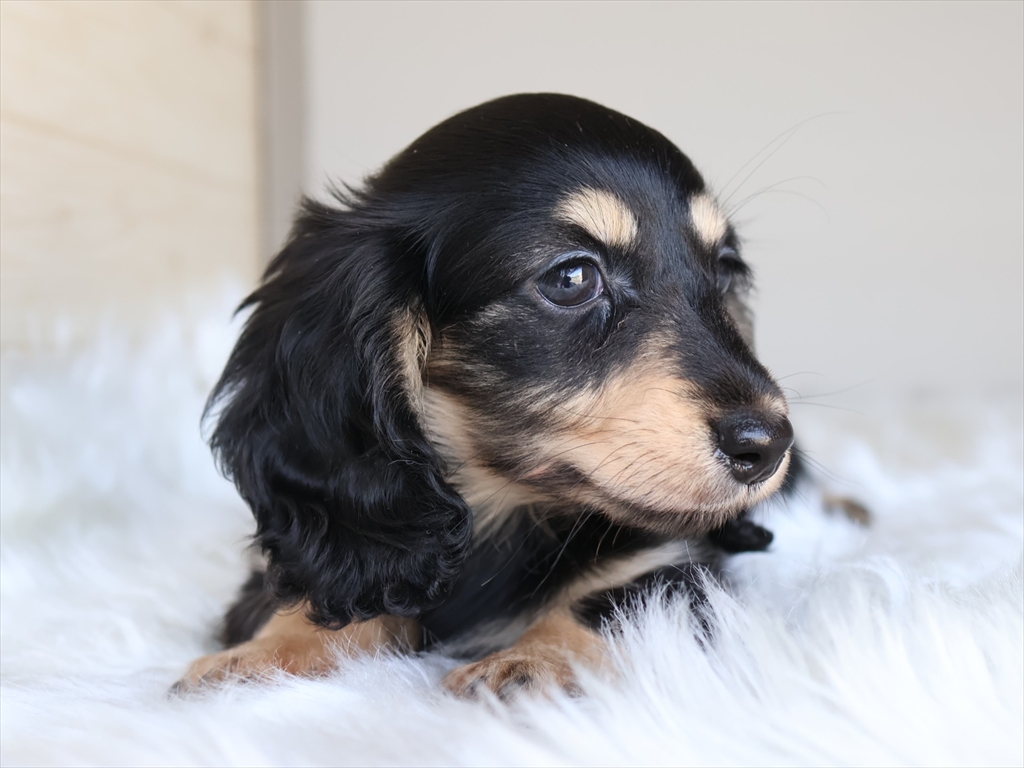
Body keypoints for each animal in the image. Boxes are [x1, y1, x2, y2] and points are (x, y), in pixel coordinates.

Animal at [174, 93, 807, 698]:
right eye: (572, 277)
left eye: (724, 271)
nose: (767, 445)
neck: (501, 512)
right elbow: (328, 601)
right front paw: (262, 656)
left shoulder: (678, 563)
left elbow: (610, 603)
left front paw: (531, 661)